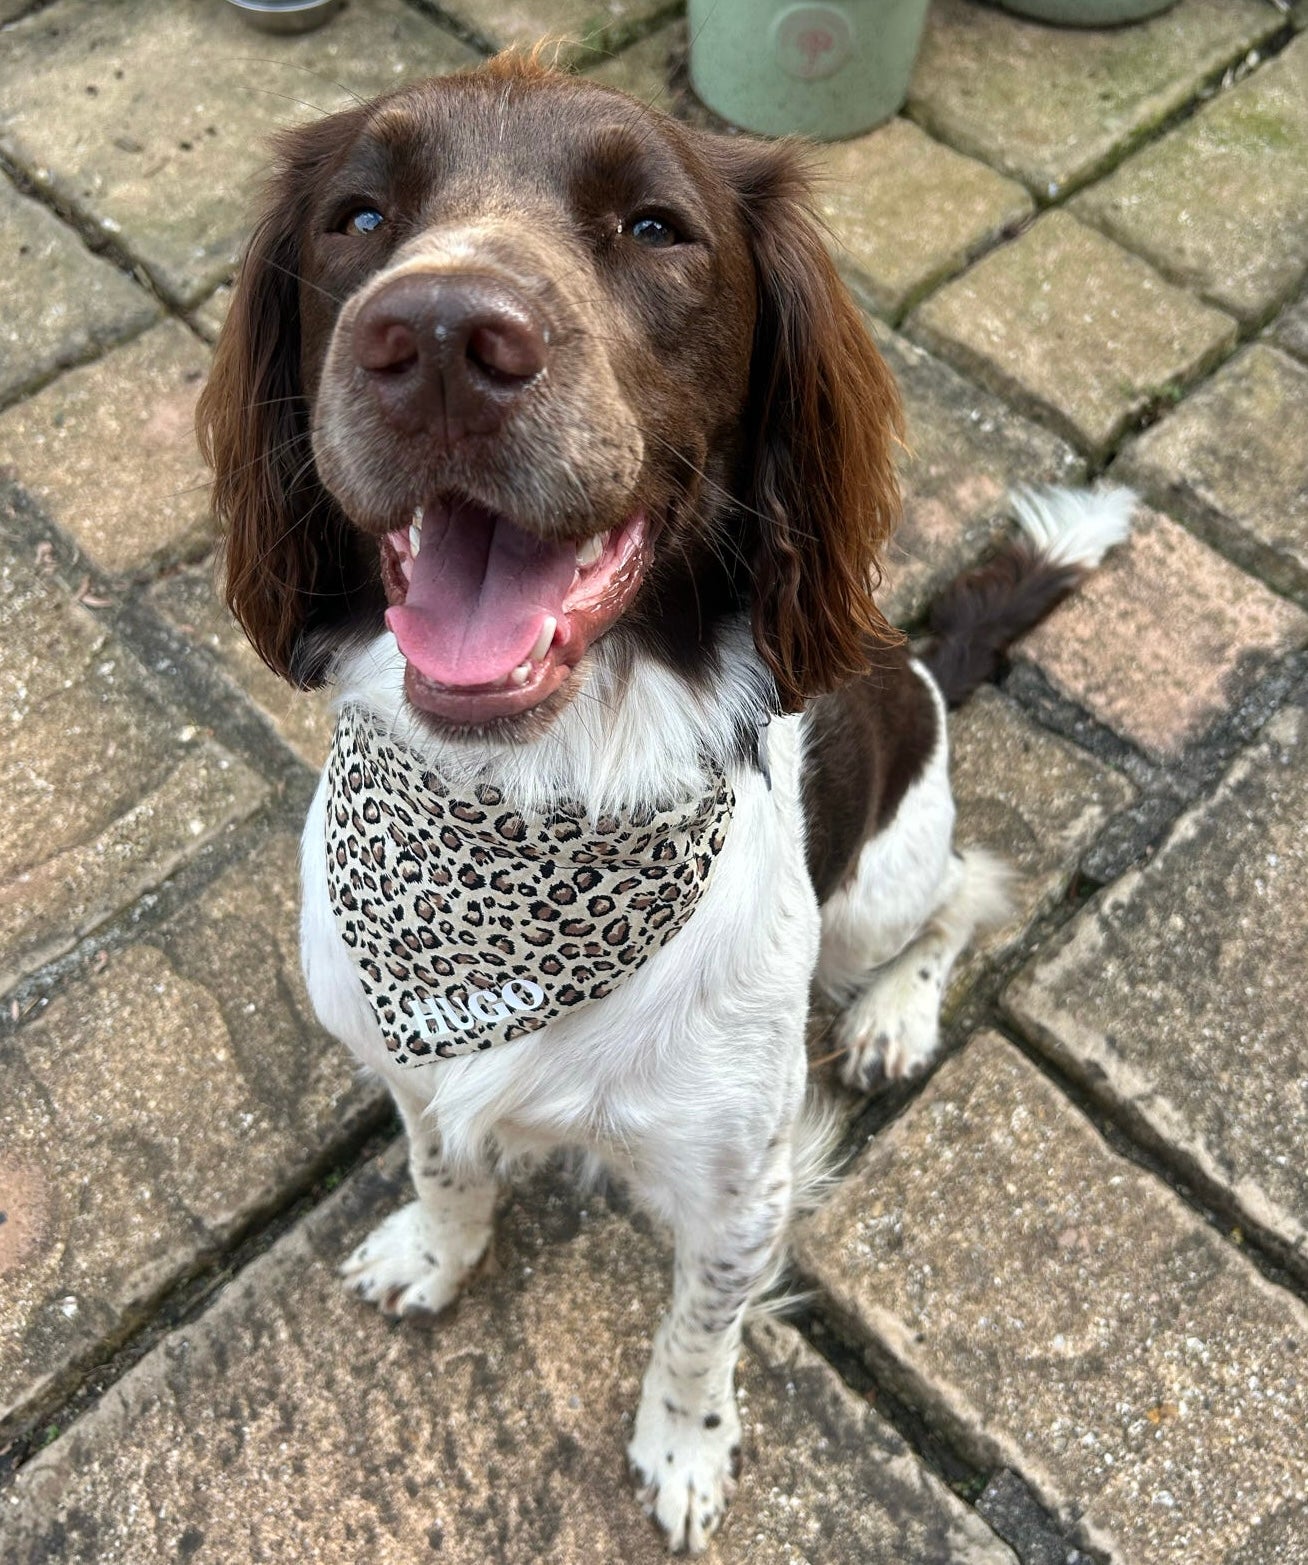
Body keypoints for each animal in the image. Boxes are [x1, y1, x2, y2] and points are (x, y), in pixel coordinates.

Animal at [199, 57, 1126, 1552]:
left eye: (654, 228)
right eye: (358, 216)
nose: (438, 337)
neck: (525, 809)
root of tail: (917, 659)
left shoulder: (743, 1180)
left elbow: (702, 1328)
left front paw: (685, 1448)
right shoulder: (409, 1061)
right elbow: (444, 1163)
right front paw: (436, 1252)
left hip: (878, 883)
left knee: (963, 896)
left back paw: (895, 1016)